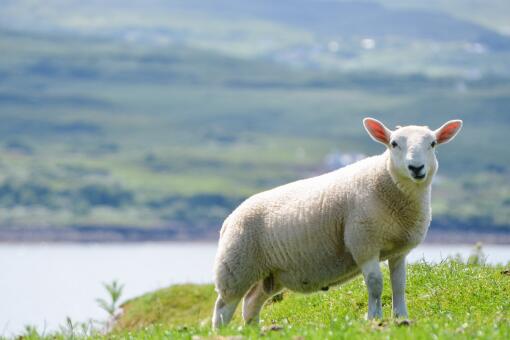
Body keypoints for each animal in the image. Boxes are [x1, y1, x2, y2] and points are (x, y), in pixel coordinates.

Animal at [211, 117, 462, 330]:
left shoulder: (399, 251)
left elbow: (399, 284)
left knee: (252, 301)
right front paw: (374, 318)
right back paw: (221, 331)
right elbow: (375, 284)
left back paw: (253, 330)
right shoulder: (363, 243)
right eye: (393, 144)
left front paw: (401, 318)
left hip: (271, 274)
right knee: (223, 307)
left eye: (432, 143)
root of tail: (229, 218)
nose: (416, 168)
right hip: (236, 265)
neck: (390, 187)